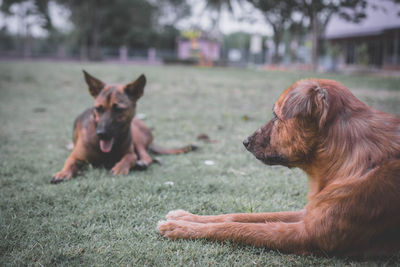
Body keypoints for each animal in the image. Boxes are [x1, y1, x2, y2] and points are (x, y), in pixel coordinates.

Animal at [52, 71, 196, 184]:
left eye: (118, 109)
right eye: (98, 109)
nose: (101, 134)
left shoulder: (130, 153)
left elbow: (130, 157)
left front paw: (120, 168)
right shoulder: (75, 156)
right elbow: (69, 162)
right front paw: (62, 173)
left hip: (136, 135)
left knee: (146, 156)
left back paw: (141, 163)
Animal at [158, 79, 400, 258]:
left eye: (275, 116)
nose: (244, 141)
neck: (347, 156)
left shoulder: (307, 234)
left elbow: (238, 228)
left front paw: (180, 228)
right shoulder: (307, 213)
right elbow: (236, 217)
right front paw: (186, 218)